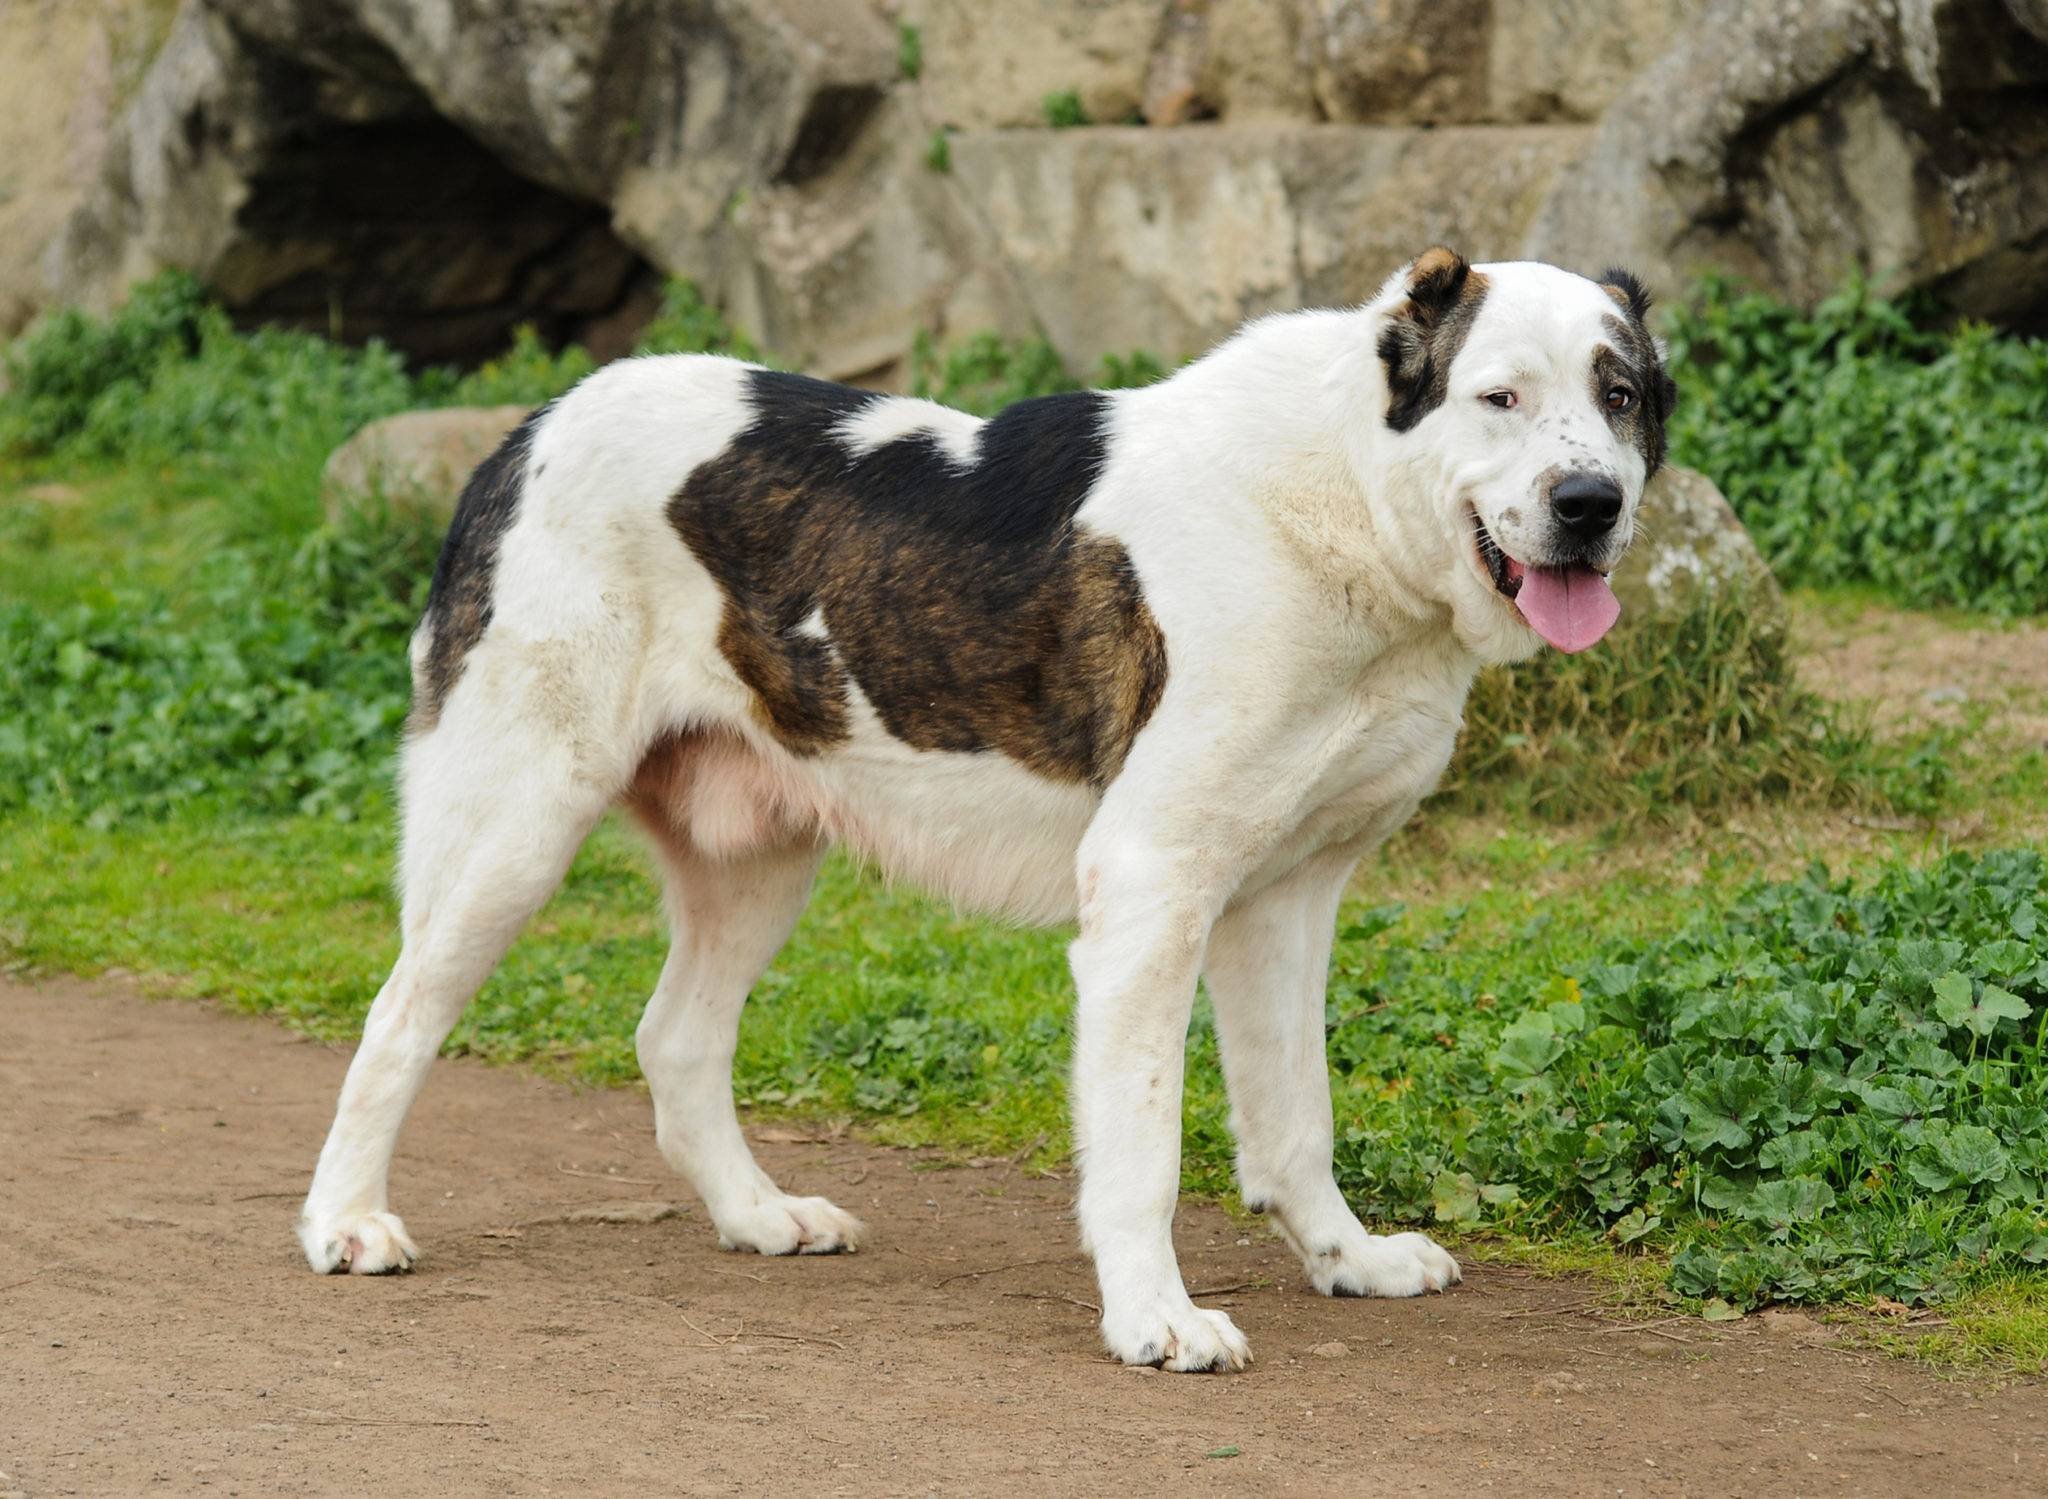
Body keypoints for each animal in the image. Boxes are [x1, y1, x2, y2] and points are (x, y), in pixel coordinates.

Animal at [303, 248, 1679, 1367]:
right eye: (1497, 397)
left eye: (1617, 396)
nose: (1589, 505)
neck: (1341, 498)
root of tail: (527, 428)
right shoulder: (1148, 888)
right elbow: (1142, 1144)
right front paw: (1153, 1317)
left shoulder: (1284, 901)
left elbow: (1296, 1117)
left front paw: (1346, 1258)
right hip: (515, 825)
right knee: (397, 1015)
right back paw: (346, 1221)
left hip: (760, 856)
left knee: (674, 1037)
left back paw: (755, 1216)